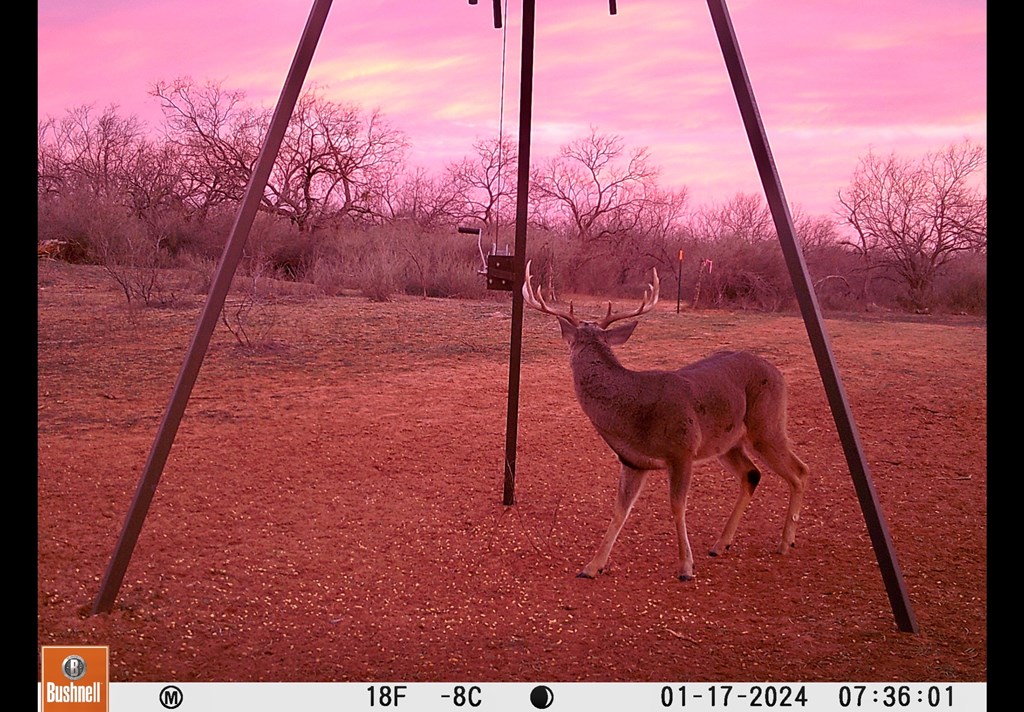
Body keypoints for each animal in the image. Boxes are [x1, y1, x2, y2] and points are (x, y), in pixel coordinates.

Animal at [528, 260, 806, 577]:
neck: (633, 413)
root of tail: (777, 372)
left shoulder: (682, 450)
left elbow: (677, 506)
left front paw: (686, 566)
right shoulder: (633, 461)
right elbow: (620, 511)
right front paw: (592, 565)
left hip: (767, 425)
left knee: (800, 471)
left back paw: (785, 542)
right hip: (727, 442)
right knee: (752, 474)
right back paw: (720, 544)